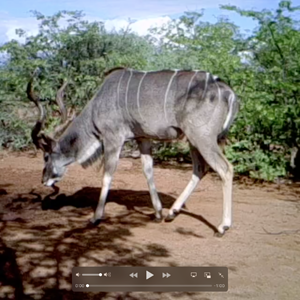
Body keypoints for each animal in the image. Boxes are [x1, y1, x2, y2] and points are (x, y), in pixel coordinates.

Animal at [27, 68, 239, 237]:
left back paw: (223, 227)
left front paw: (95, 217)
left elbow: (107, 174)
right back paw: (172, 212)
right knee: (200, 169)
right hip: (194, 139)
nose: (44, 180)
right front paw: (158, 213)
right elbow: (148, 170)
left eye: (46, 156)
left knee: (225, 168)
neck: (98, 104)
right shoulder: (142, 137)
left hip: (201, 137)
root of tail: (228, 92)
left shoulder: (113, 137)